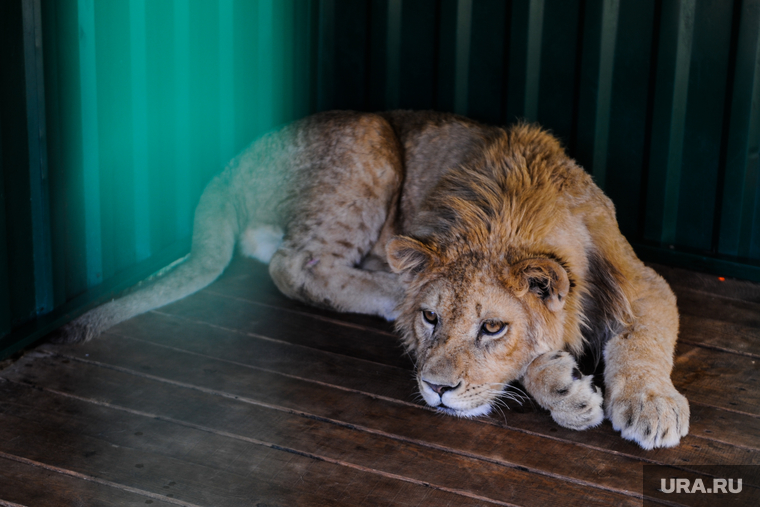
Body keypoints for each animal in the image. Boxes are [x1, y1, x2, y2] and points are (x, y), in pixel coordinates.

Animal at [55, 110, 688, 448]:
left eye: (491, 328)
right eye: (432, 317)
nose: (436, 389)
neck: (510, 208)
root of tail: (233, 163)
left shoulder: (641, 281)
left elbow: (642, 340)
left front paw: (651, 406)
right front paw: (565, 390)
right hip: (371, 137)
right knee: (296, 265)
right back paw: (389, 291)